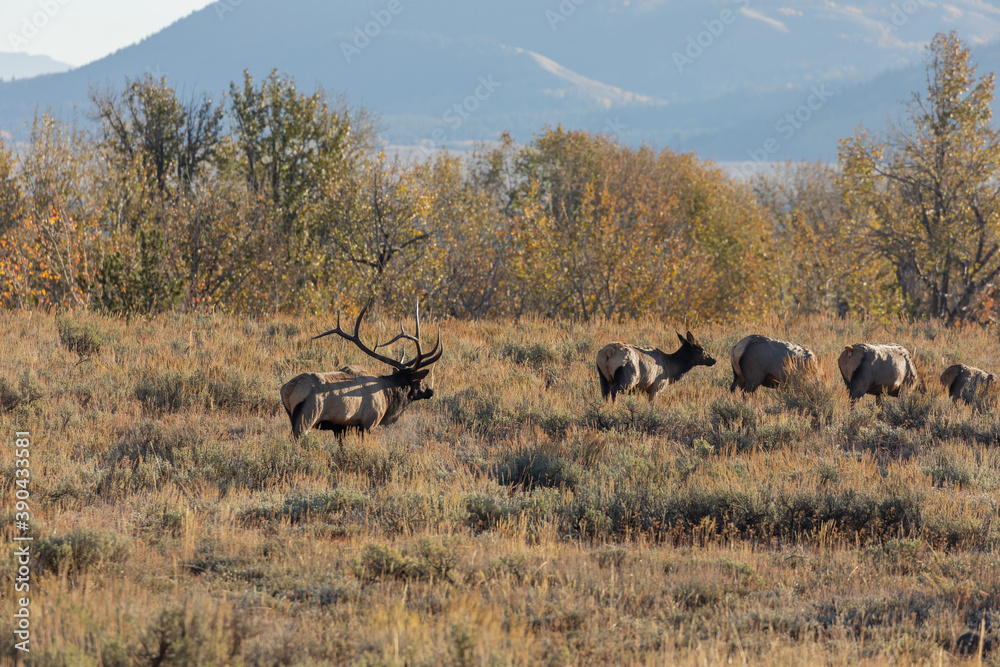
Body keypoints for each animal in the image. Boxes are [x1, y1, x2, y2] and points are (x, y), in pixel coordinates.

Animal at [280, 300, 442, 440]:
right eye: (419, 380)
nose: (431, 390)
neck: (386, 397)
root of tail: (288, 388)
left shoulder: (340, 427)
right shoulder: (368, 423)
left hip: (292, 416)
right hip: (307, 417)